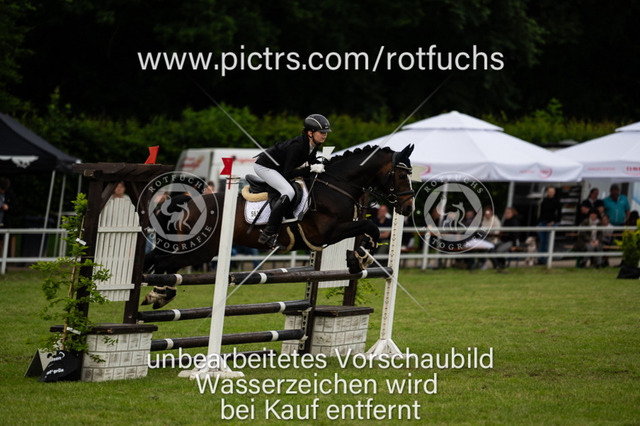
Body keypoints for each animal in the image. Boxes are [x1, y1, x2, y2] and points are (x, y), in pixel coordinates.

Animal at [144, 144, 415, 279]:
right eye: (402, 175)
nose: (409, 207)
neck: (337, 184)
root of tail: (189, 204)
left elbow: (369, 230)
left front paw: (360, 257)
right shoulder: (327, 233)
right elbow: (369, 226)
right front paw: (359, 258)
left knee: (160, 260)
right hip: (201, 250)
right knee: (163, 262)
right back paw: (158, 294)